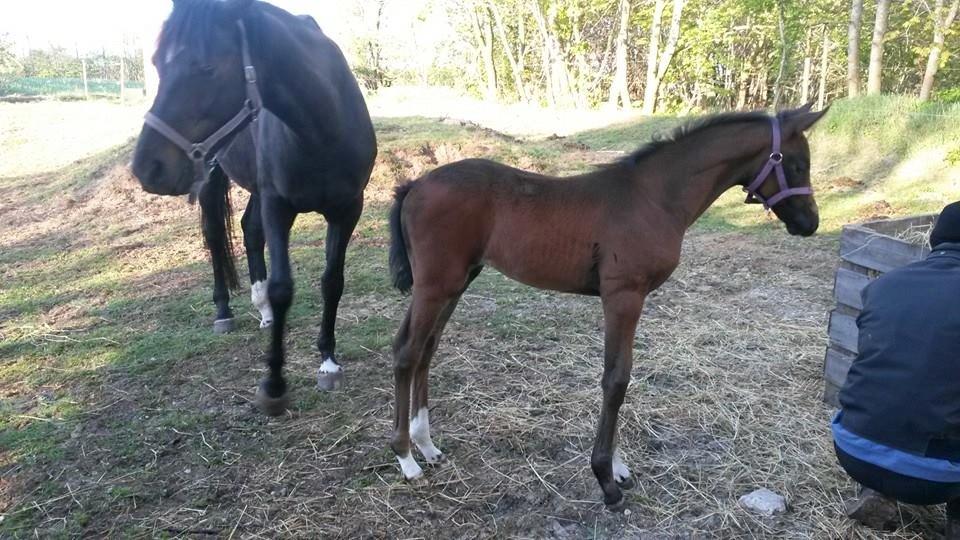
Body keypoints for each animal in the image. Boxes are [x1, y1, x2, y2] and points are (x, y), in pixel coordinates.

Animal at [386, 106, 828, 510]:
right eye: (798, 164)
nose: (810, 223)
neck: (653, 198)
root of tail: (415, 184)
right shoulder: (624, 296)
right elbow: (616, 380)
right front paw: (606, 479)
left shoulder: (627, 298)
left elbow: (617, 377)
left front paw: (616, 468)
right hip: (436, 285)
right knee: (407, 351)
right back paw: (406, 458)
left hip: (458, 282)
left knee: (425, 348)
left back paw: (427, 445)